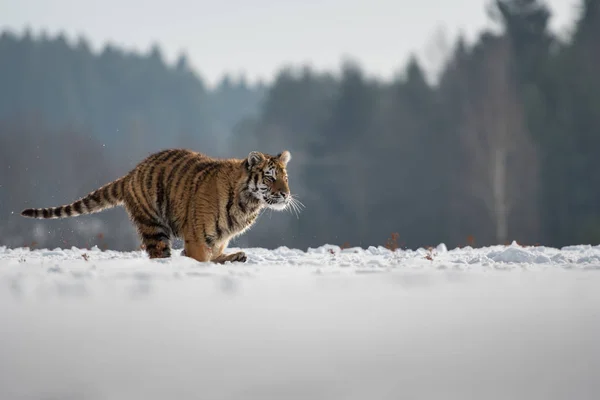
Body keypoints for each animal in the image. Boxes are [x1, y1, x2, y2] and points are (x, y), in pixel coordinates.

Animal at [21, 148, 300, 264]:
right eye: (269, 177)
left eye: (285, 177)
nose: (286, 194)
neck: (248, 203)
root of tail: (131, 174)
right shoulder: (197, 236)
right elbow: (202, 259)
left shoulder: (220, 238)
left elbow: (214, 254)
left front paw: (233, 257)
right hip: (154, 227)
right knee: (159, 253)